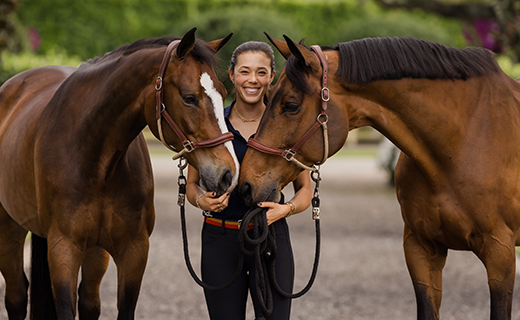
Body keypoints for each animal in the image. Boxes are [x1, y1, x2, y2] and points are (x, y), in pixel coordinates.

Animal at [0, 28, 239, 320]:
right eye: (189, 98)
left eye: (222, 92)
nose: (228, 174)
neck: (95, 159)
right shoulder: (63, 249)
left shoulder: (134, 250)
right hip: (8, 231)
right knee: (16, 296)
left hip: (95, 250)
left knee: (89, 302)